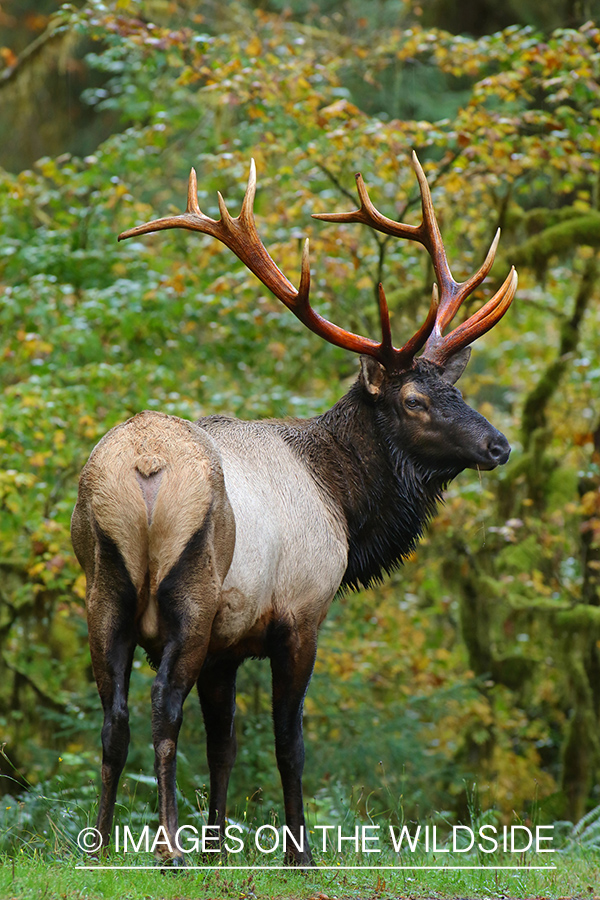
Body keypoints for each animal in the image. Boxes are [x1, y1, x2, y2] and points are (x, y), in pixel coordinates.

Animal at [71, 155, 516, 864]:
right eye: (415, 400)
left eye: (458, 390)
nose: (498, 445)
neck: (343, 502)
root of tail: (144, 466)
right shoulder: (301, 612)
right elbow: (288, 741)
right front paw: (296, 852)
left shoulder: (228, 643)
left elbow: (223, 746)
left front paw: (217, 848)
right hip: (191, 590)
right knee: (162, 705)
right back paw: (166, 848)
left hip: (103, 589)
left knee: (114, 716)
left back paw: (100, 846)